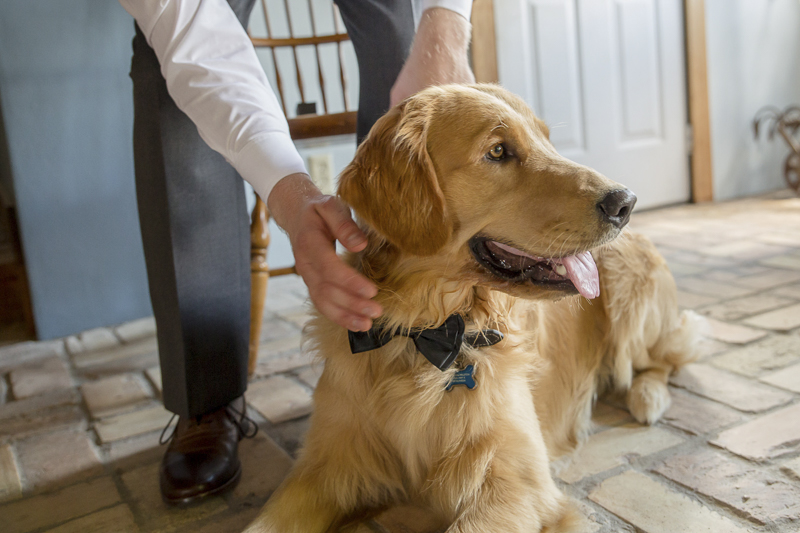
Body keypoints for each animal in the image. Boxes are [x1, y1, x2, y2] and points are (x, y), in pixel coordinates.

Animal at [244, 83, 700, 532]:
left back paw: (647, 397)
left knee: (662, 358)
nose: (626, 202)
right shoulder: (326, 468)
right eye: (497, 151)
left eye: (547, 140)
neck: (424, 334)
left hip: (627, 294)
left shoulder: (516, 484)